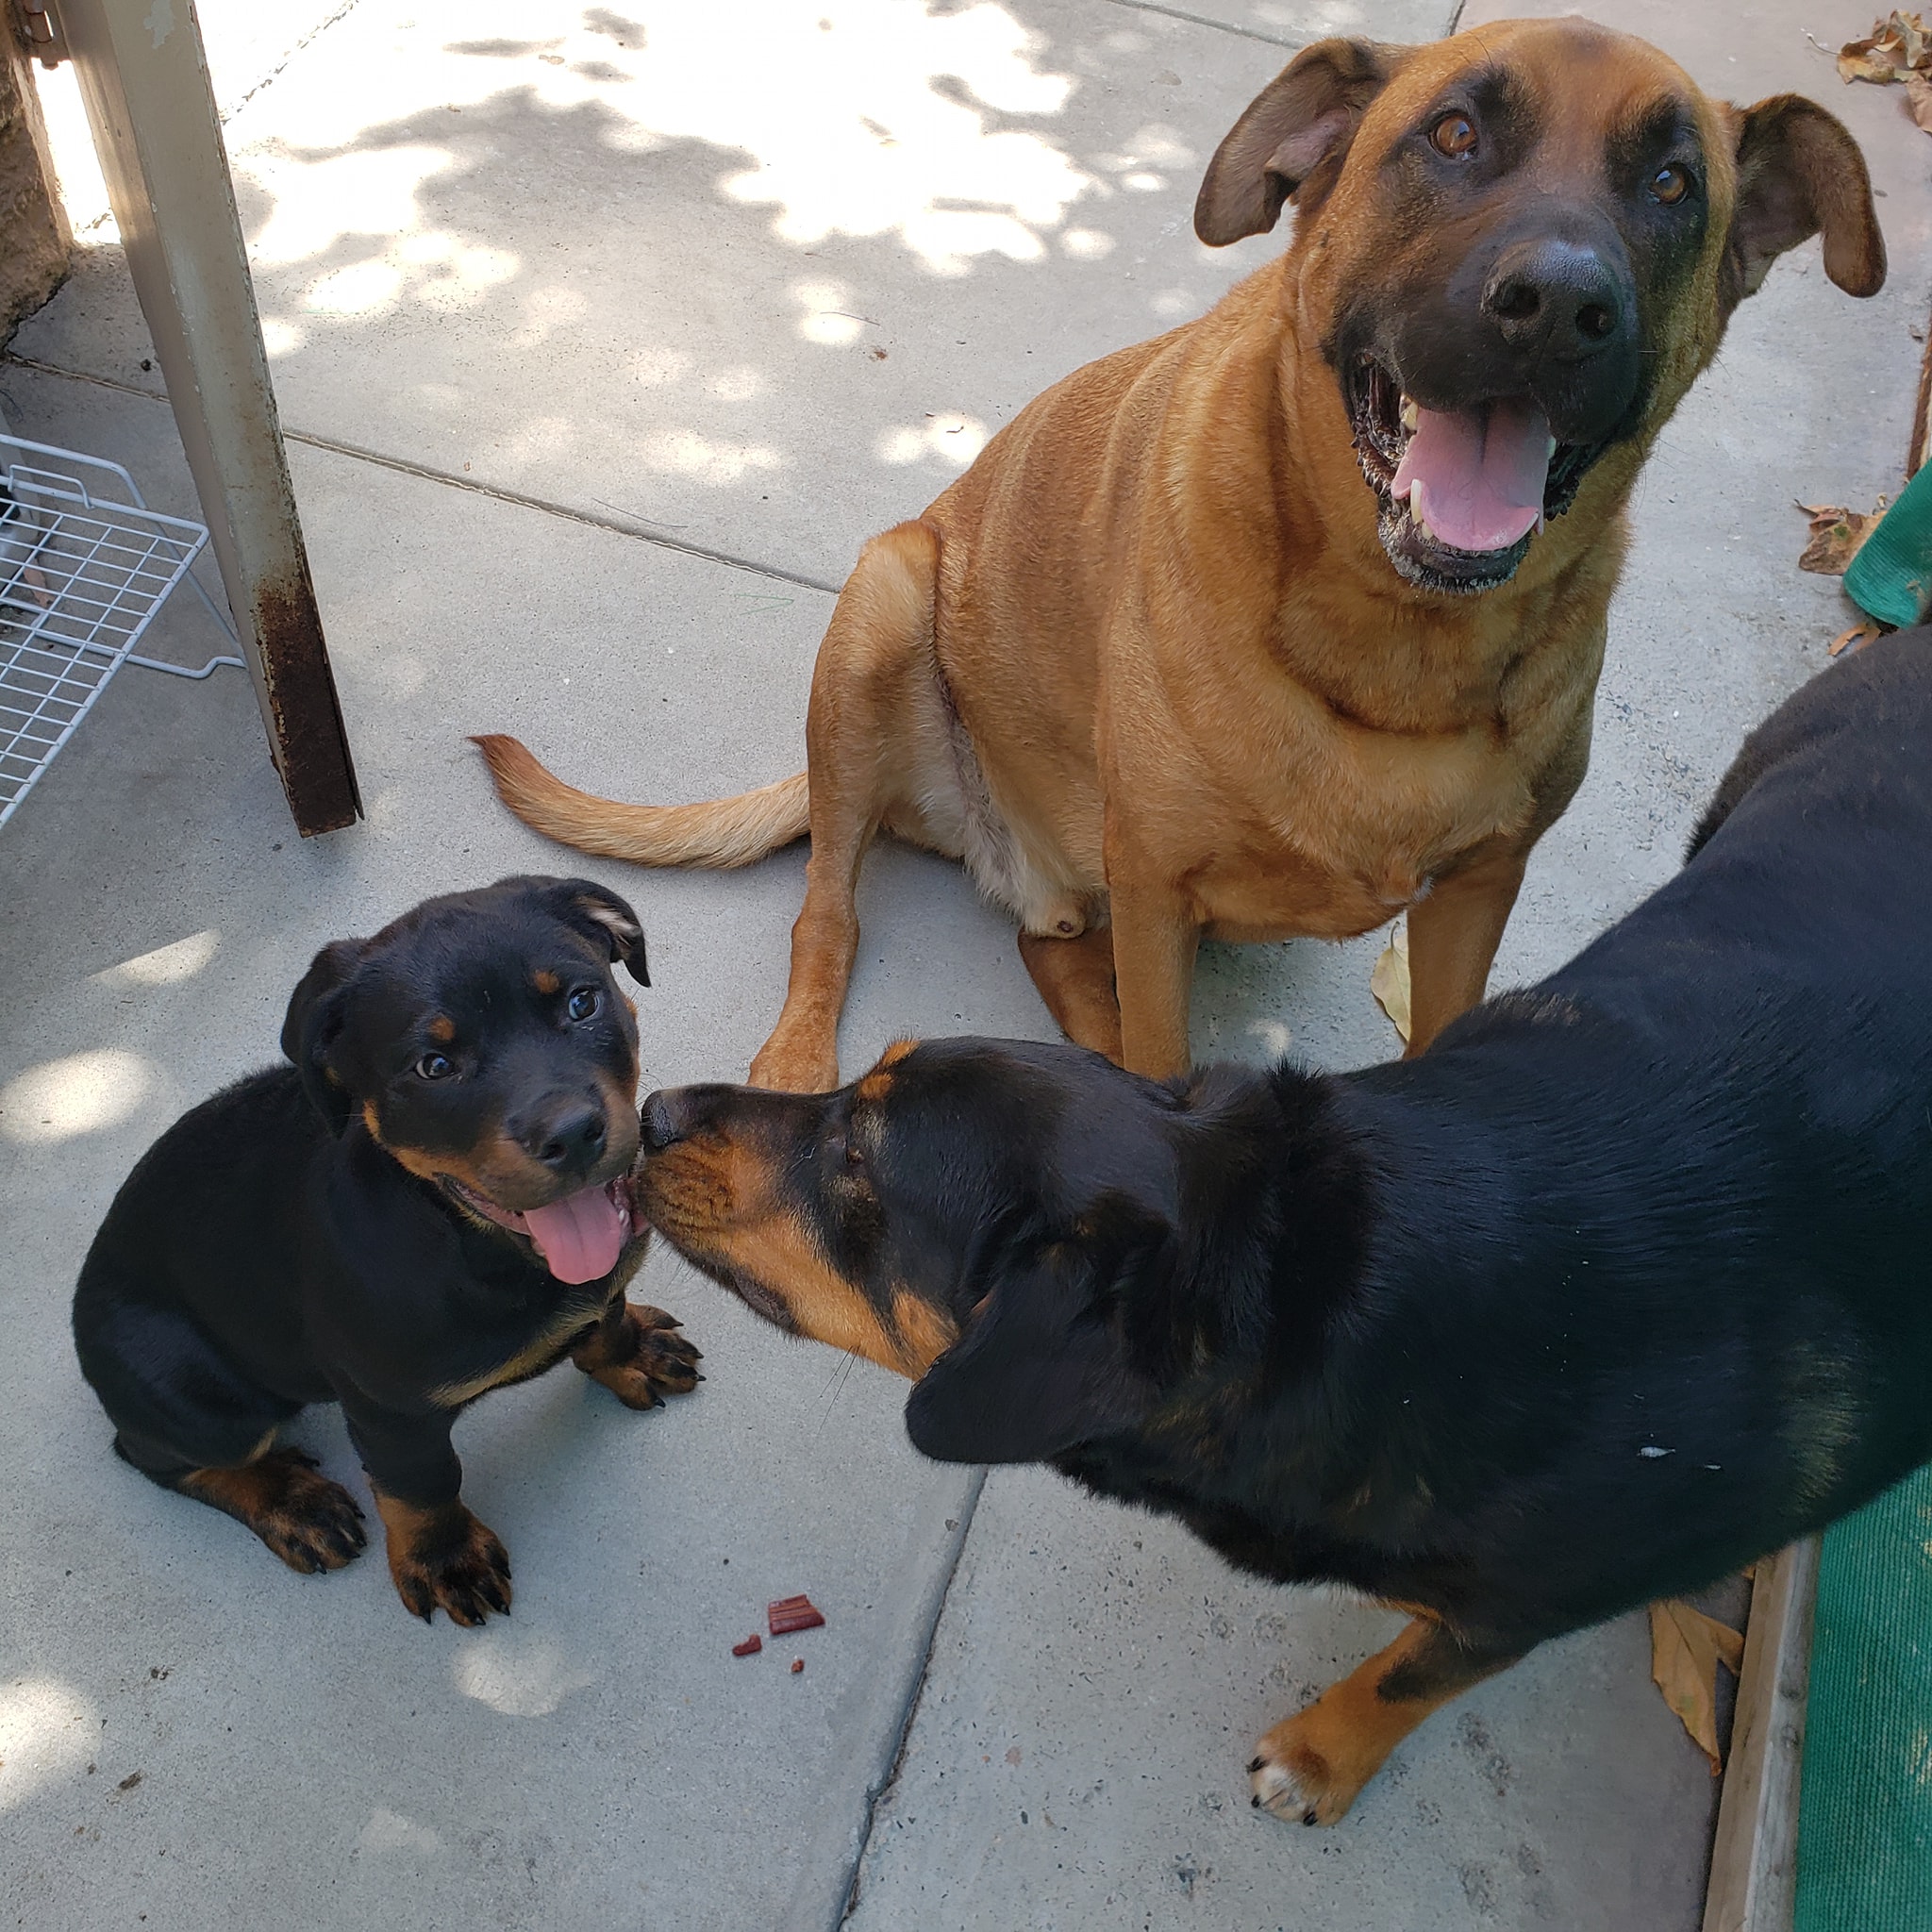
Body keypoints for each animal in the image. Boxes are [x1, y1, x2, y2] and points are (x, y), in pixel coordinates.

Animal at [72, 875, 700, 1626]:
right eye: (434, 1066)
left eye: (582, 1001)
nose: (574, 1134)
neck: (470, 1243)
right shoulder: (389, 1412)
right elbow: (423, 1486)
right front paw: (446, 1562)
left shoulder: (602, 1288)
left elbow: (605, 1320)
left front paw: (630, 1352)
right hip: (201, 1396)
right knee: (160, 1458)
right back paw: (293, 1504)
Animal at [474, 19, 1882, 1090]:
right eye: (1453, 136)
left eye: (1672, 184)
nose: (1558, 305)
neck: (1399, 643)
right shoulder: (1154, 882)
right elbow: (1149, 1049)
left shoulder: (1476, 888)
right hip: (883, 605)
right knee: (829, 909)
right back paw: (806, 1051)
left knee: (1049, 955)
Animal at [633, 632, 1932, 1822]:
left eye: (858, 1161)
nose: (651, 1111)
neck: (1304, 1284)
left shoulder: (1525, 1598)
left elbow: (1415, 1672)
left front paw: (1320, 1755)